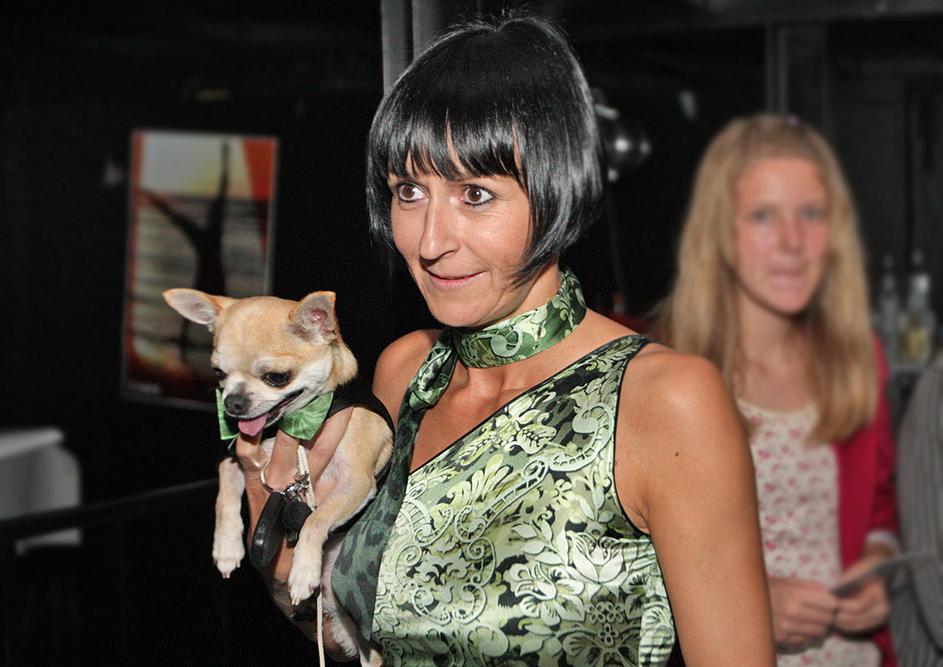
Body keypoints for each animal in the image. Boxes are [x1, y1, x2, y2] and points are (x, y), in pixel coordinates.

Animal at [163, 288, 391, 665]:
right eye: (218, 373)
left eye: (276, 377)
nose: (233, 402)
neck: (296, 425)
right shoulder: (238, 457)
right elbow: (224, 493)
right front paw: (226, 546)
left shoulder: (357, 482)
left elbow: (316, 520)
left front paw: (302, 570)